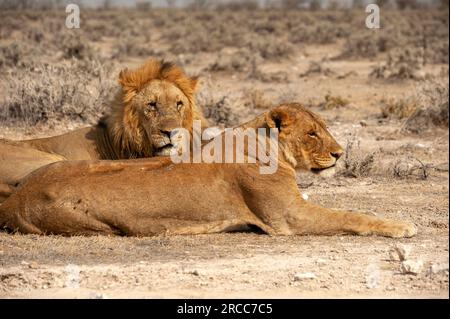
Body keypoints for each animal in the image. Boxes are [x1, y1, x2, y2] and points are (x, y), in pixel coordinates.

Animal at [0, 104, 414, 239]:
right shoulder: (289, 217)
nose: (340, 154)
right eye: (313, 133)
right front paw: (402, 226)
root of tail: (15, 198)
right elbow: (353, 215)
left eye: (323, 127)